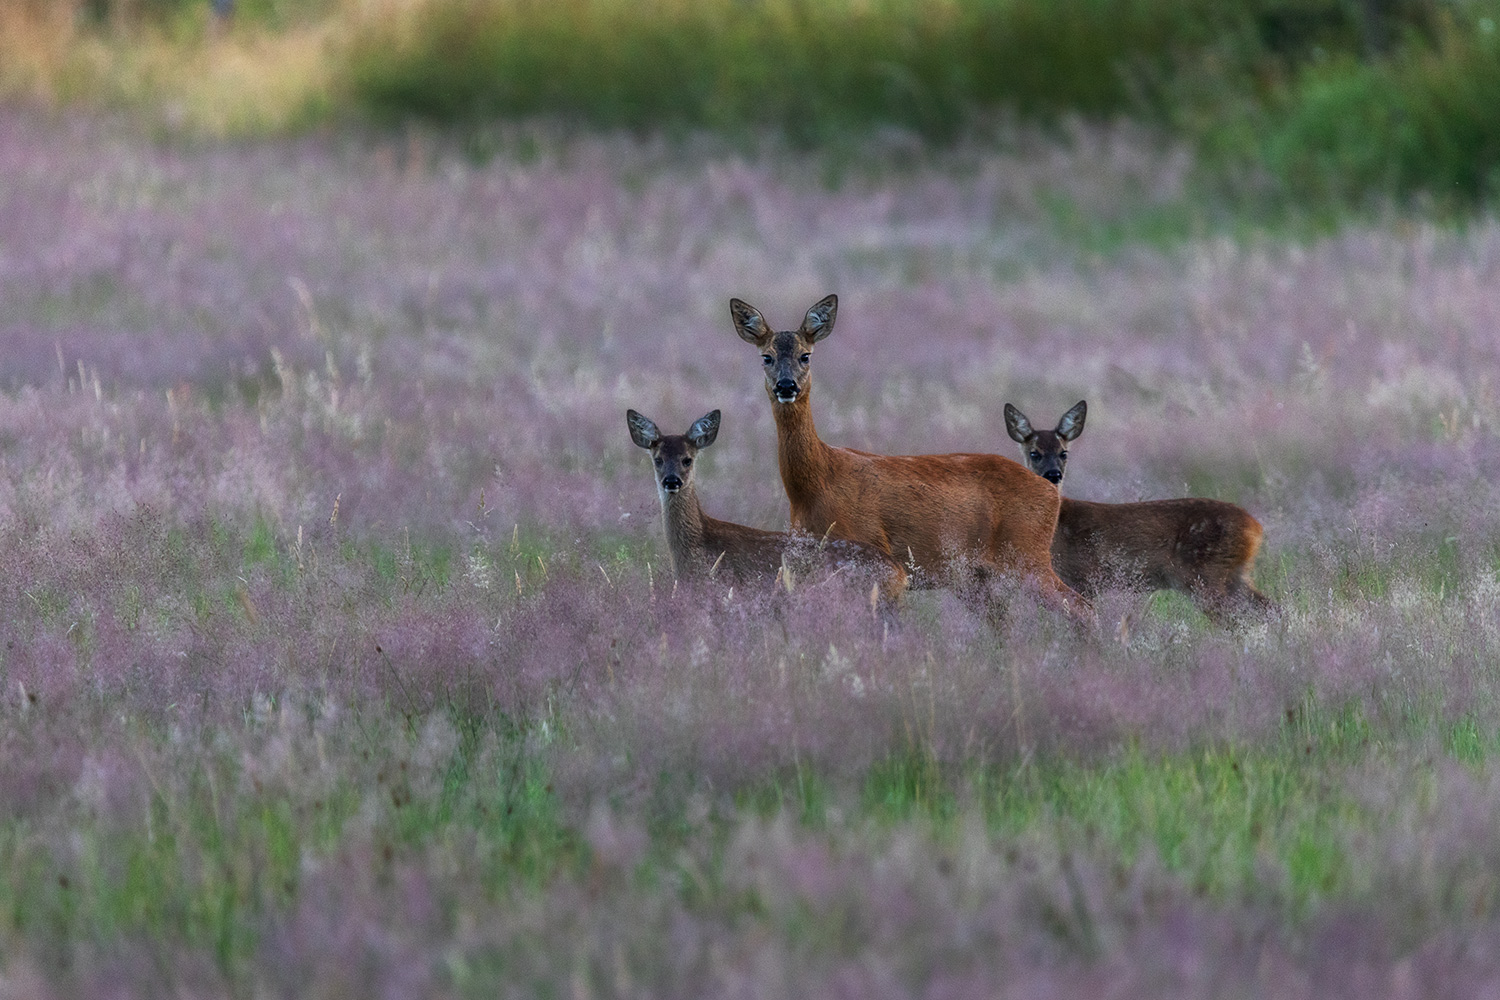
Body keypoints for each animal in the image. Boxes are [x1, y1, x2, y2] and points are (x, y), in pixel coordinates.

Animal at [732, 293, 1086, 620]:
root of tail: (1050, 492)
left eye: (805, 355)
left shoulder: (876, 553)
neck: (816, 484)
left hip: (1027, 555)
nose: (786, 386)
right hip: (978, 575)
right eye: (766, 357)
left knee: (1082, 608)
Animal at [1008, 401, 1278, 626]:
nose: (1053, 474)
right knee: (1271, 609)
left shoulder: (1082, 576)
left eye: (1063, 453)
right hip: (1233, 575)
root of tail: (1255, 528)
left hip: (1205, 575)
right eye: (1034, 453)